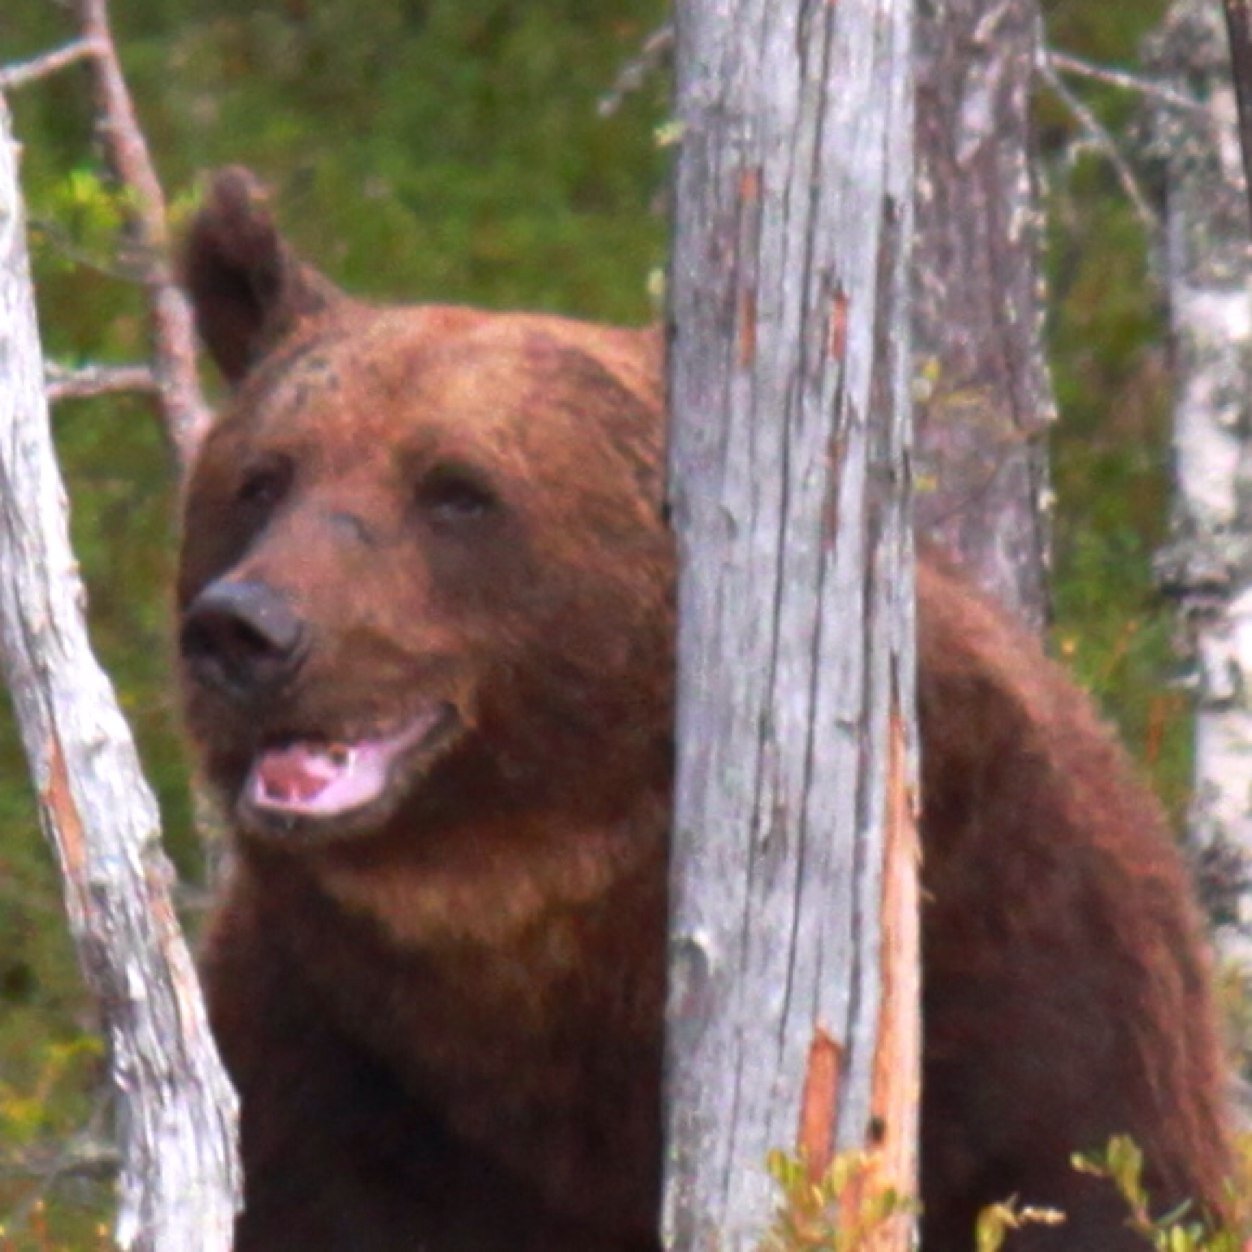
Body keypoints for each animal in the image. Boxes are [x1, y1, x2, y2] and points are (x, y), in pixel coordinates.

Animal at [176, 169, 1231, 1252]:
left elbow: (1083, 1176)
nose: (244, 629)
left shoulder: (1029, 980)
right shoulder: (335, 1079)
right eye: (264, 478)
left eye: (458, 490)